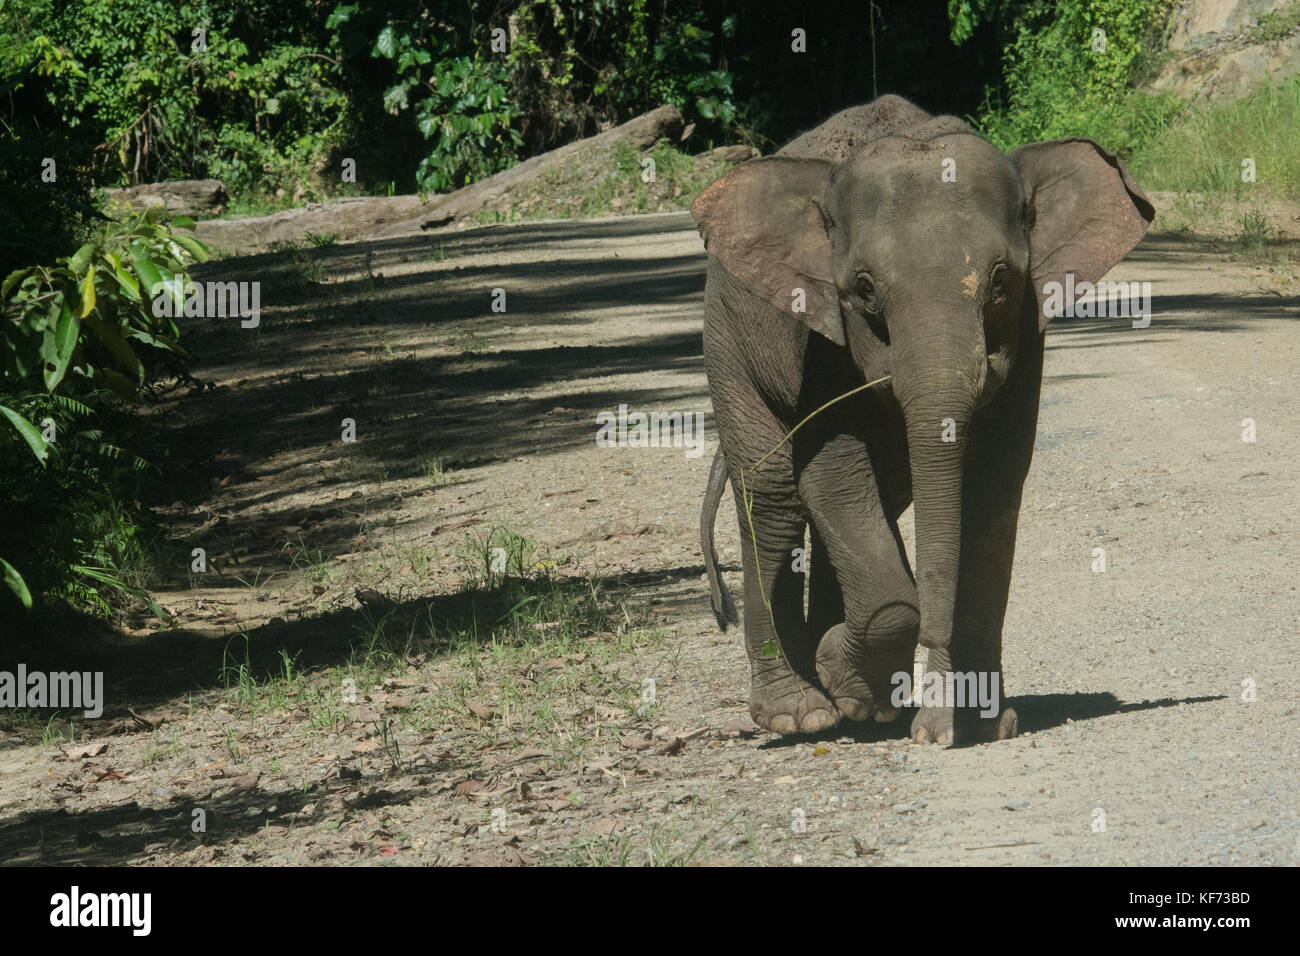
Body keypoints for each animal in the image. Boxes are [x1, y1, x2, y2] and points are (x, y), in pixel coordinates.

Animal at [696, 93, 1154, 743]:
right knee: (777, 497)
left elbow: (993, 484)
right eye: (863, 290)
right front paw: (854, 678)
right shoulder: (818, 339)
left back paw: (864, 706)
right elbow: (832, 472)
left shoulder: (1027, 335)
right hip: (728, 344)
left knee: (877, 497)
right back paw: (803, 713)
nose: (934, 725)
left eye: (1000, 281)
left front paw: (976, 723)